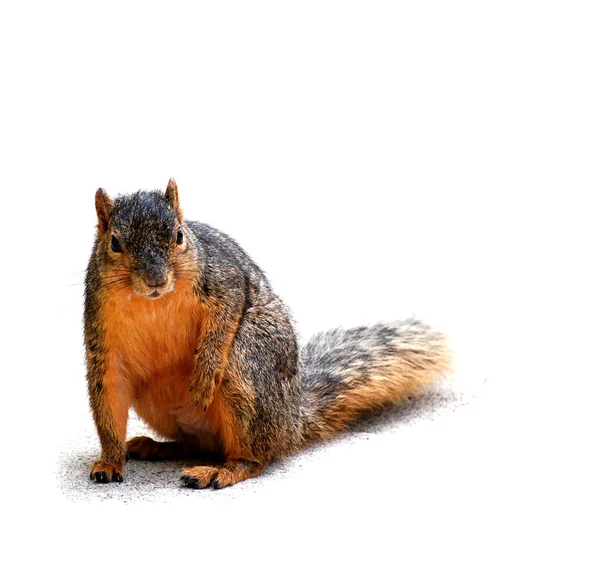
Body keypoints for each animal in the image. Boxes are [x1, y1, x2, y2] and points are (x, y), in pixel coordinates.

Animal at [83, 179, 450, 488]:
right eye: (115, 243)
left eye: (178, 235)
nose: (156, 280)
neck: (152, 303)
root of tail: (292, 422)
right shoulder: (102, 336)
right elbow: (108, 398)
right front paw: (109, 462)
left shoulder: (224, 282)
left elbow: (225, 318)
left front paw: (206, 369)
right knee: (196, 444)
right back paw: (156, 446)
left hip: (246, 368)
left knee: (255, 456)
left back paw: (221, 471)